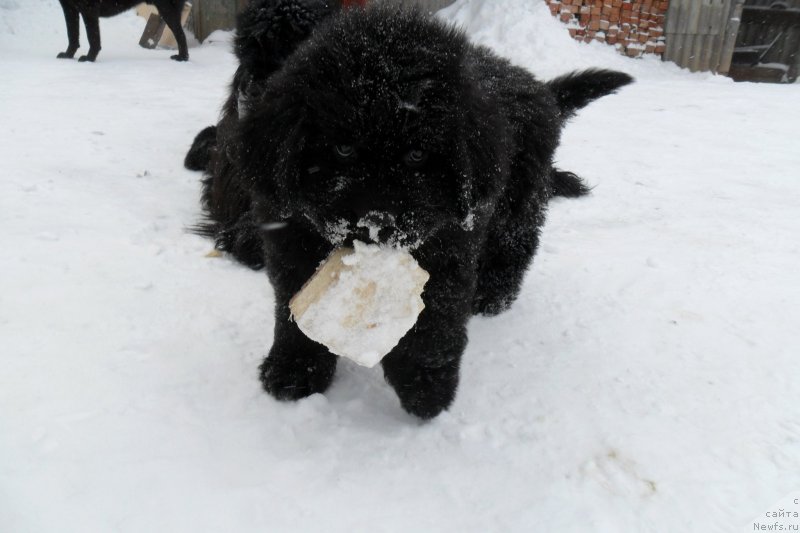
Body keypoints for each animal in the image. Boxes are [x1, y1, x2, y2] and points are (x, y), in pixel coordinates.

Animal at [56, 0, 189, 61]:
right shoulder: (69, 8)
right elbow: (72, 34)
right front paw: (68, 55)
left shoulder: (89, 8)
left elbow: (92, 38)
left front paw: (89, 58)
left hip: (167, 10)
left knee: (181, 35)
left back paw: (182, 58)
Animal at [188, 0, 632, 420]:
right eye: (342, 148)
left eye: (418, 155)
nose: (376, 225)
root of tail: (538, 86)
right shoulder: (289, 239)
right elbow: (292, 315)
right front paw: (292, 373)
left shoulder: (449, 244)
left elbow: (434, 321)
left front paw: (426, 390)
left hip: (515, 200)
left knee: (516, 244)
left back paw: (492, 297)